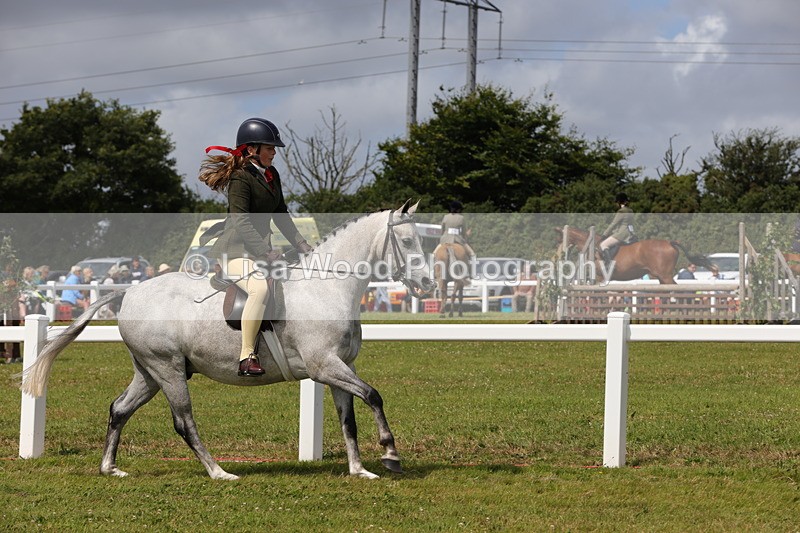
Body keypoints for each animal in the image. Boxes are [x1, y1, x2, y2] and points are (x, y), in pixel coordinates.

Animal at [20, 201, 436, 481]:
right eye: (407, 240)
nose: (427, 284)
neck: (327, 286)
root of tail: (129, 292)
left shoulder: (340, 368)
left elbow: (348, 419)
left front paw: (359, 470)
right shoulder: (324, 366)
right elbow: (374, 396)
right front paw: (390, 453)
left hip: (149, 372)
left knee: (120, 409)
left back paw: (110, 469)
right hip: (167, 370)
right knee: (183, 422)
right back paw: (219, 472)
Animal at [557, 226, 711, 284]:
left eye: (561, 239)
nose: (559, 255)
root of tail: (669, 242)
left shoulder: (601, 278)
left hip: (665, 276)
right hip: (661, 277)